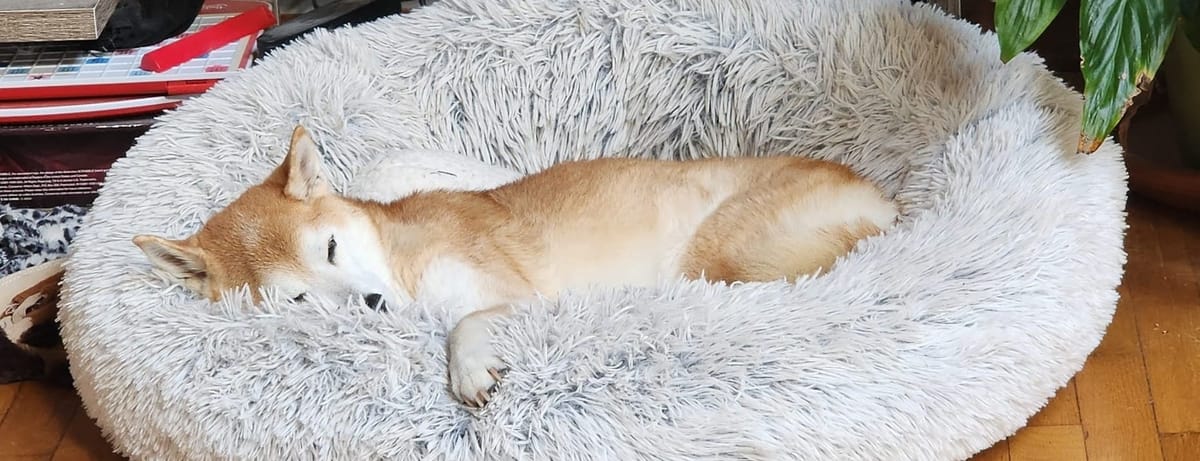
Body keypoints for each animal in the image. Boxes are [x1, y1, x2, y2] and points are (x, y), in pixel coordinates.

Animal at [133, 126, 902, 408]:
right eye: (294, 299)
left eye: (329, 248)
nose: (373, 304)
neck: (401, 259)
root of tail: (887, 197)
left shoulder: (515, 291)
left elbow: (466, 321)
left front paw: (469, 366)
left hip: (726, 251)